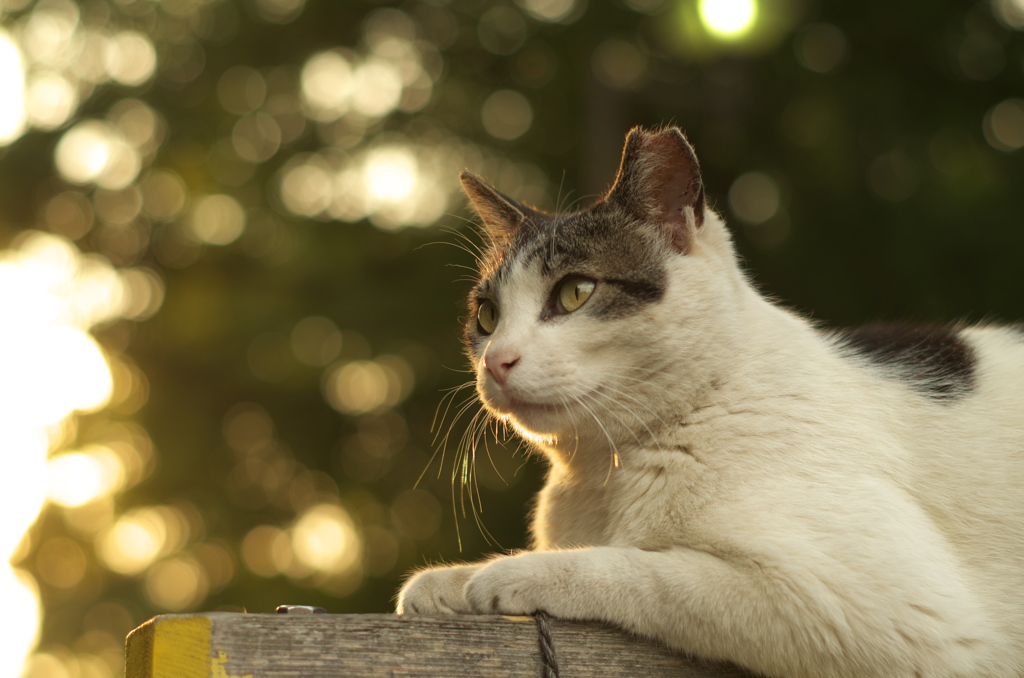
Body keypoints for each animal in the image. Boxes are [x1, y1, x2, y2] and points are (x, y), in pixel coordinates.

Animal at [393, 127, 1024, 678]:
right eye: (487, 316)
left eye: (575, 292)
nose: (496, 361)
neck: (606, 473)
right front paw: (447, 583)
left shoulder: (901, 614)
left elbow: (652, 571)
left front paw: (510, 573)